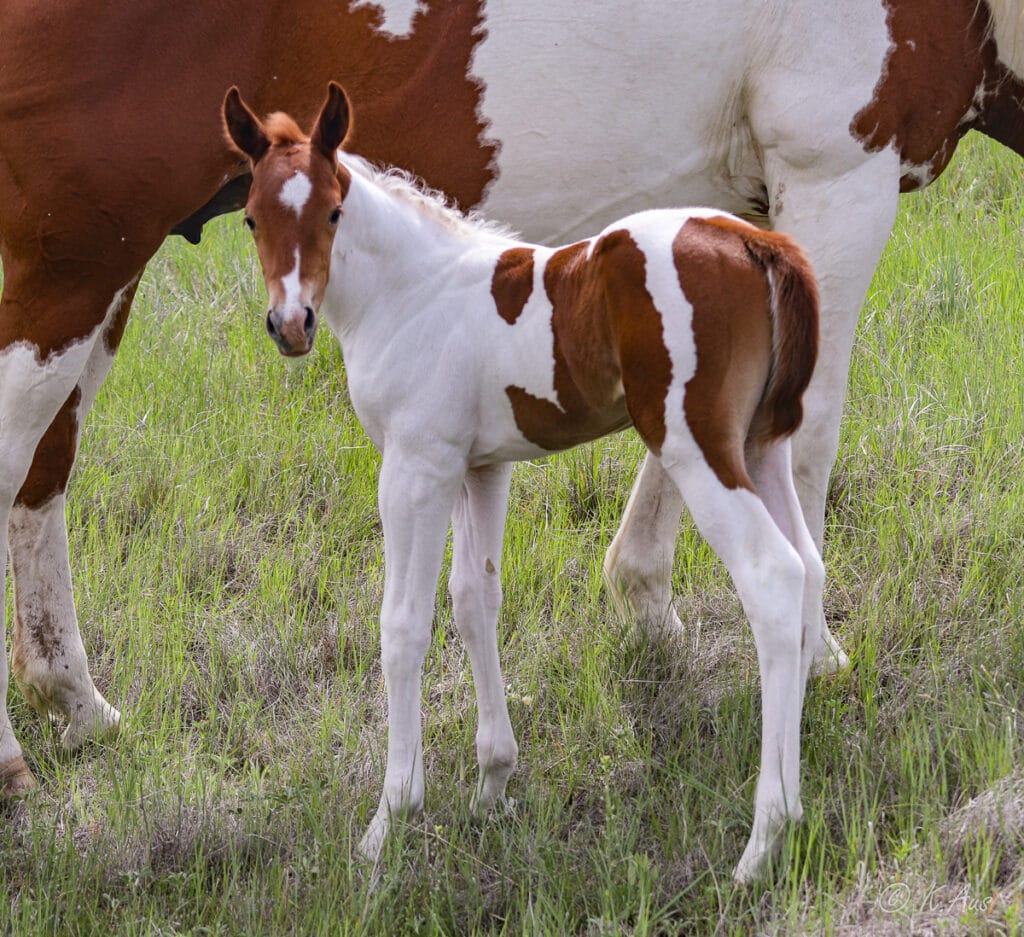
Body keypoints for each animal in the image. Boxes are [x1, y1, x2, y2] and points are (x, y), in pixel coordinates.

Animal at [224, 84, 823, 884]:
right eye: (253, 218)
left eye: (333, 211)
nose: (292, 324)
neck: (410, 292)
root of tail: (758, 243)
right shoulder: (479, 467)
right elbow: (475, 602)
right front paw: (492, 785)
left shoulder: (414, 469)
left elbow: (403, 625)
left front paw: (391, 818)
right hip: (761, 446)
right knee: (811, 564)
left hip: (697, 446)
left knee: (773, 577)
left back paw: (764, 839)